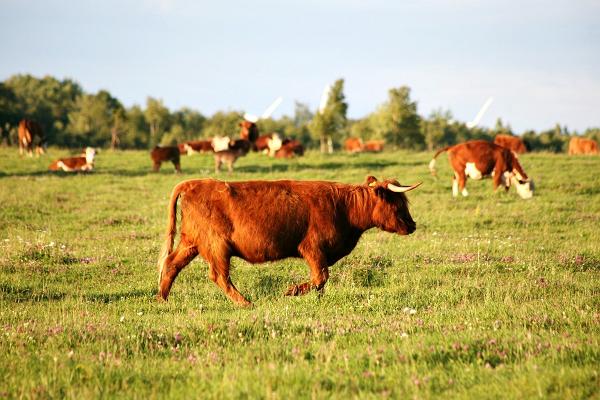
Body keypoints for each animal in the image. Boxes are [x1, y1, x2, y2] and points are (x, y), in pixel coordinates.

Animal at [158, 177, 422, 304]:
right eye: (397, 203)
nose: (412, 225)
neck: (344, 207)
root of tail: (194, 183)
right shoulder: (314, 249)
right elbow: (320, 278)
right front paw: (291, 291)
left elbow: (321, 282)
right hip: (217, 247)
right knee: (219, 276)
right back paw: (246, 303)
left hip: (190, 243)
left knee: (171, 264)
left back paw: (162, 299)